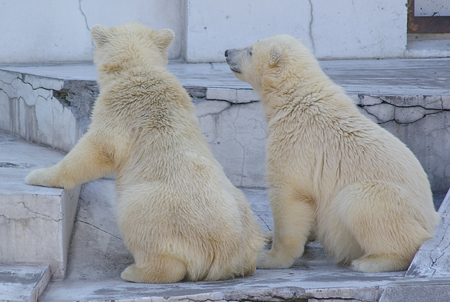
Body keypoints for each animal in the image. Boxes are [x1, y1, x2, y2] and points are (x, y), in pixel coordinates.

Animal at [225, 35, 440, 274]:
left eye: (250, 50)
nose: (227, 52)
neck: (296, 98)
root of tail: (431, 217)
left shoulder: (296, 141)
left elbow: (290, 195)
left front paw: (270, 258)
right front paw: (271, 235)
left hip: (391, 203)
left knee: (360, 201)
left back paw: (371, 261)